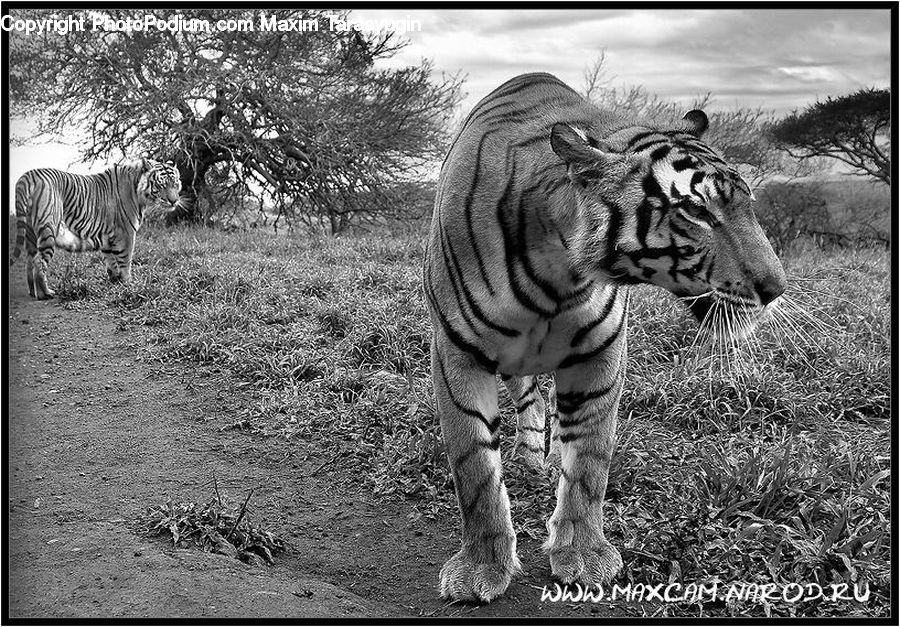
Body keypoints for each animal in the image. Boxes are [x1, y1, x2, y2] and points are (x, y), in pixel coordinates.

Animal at [9, 159, 182, 299]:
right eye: (161, 185)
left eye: (175, 184)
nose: (174, 201)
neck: (137, 190)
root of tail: (29, 175)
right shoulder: (126, 234)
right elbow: (125, 261)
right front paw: (128, 284)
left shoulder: (107, 237)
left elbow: (112, 263)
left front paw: (115, 282)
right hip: (49, 229)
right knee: (39, 262)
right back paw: (45, 293)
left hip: (31, 233)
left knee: (29, 260)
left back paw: (32, 292)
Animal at [423, 72, 786, 602]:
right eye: (696, 211)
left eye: (748, 204)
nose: (776, 290)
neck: (560, 272)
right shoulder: (458, 353)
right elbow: (474, 467)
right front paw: (481, 569)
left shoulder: (600, 354)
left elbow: (589, 465)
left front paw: (583, 557)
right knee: (528, 399)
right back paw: (528, 457)